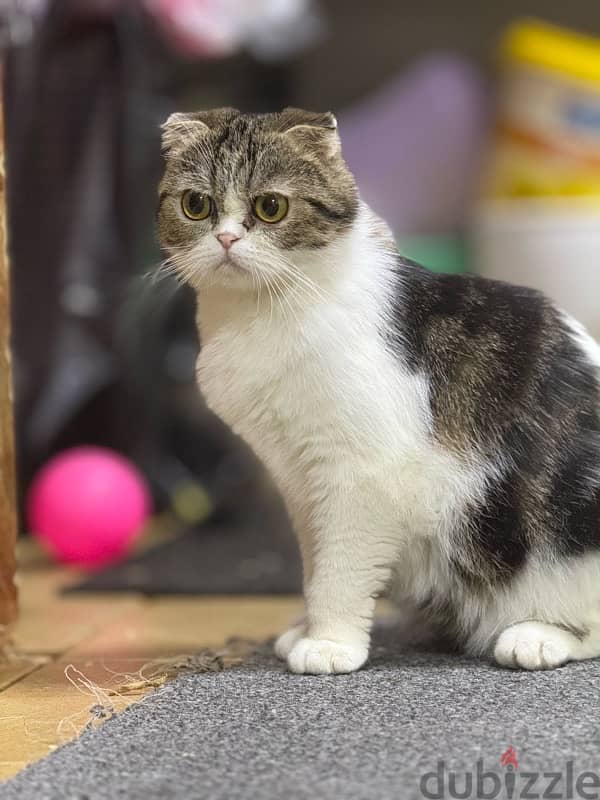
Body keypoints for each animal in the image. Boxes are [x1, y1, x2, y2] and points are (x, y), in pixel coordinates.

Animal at [157, 104, 600, 668]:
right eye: (196, 205)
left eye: (271, 207)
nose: (226, 240)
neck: (259, 314)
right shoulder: (299, 480)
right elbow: (316, 564)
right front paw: (307, 630)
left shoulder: (361, 473)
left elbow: (341, 570)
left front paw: (329, 644)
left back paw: (536, 637)